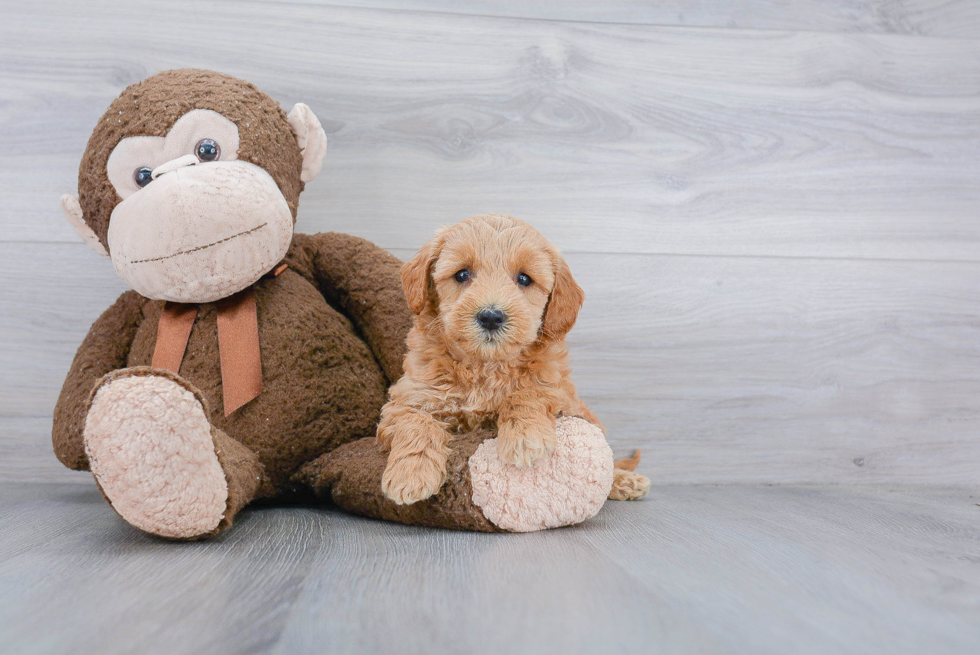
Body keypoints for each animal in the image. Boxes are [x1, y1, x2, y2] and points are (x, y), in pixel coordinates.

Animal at [378, 215, 648, 508]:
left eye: (524, 279)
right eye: (462, 274)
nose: (491, 317)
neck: (485, 366)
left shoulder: (560, 393)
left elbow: (527, 393)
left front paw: (525, 438)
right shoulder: (407, 398)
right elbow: (416, 421)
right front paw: (411, 474)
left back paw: (625, 480)